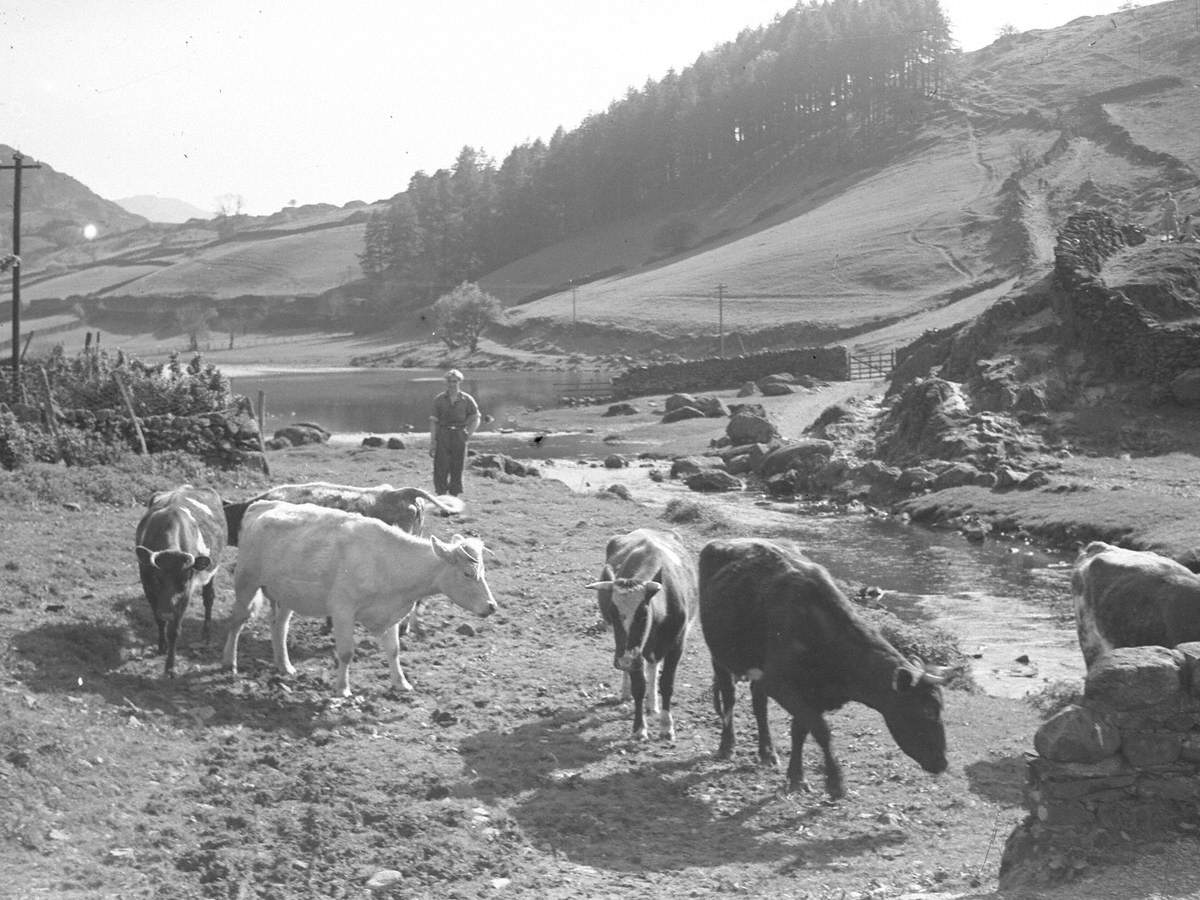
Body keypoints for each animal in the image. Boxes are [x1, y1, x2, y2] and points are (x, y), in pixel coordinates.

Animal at [136, 487, 229, 676]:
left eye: (184, 580)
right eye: (157, 578)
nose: (167, 612)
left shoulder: (186, 594)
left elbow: (174, 630)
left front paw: (170, 666)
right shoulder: (147, 586)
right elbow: (159, 620)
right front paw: (161, 646)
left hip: (212, 572)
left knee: (209, 599)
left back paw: (206, 634)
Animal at [222, 501, 496, 696]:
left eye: (483, 571)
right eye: (468, 573)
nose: (492, 606)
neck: (387, 561)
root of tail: (261, 506)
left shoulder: (390, 612)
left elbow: (394, 650)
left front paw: (401, 683)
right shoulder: (342, 610)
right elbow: (345, 652)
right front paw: (343, 689)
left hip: (287, 593)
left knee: (279, 626)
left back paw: (284, 665)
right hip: (246, 581)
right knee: (236, 621)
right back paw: (230, 663)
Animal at [585, 528, 700, 739]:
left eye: (643, 614)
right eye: (612, 613)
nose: (624, 661)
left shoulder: (677, 644)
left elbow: (667, 684)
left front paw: (666, 725)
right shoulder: (633, 652)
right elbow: (639, 686)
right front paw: (639, 727)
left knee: (653, 666)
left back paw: (652, 705)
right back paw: (627, 692)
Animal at [696, 540, 945, 801]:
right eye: (925, 711)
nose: (942, 763)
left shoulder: (809, 693)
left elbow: (800, 731)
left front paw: (796, 777)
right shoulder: (781, 684)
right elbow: (822, 730)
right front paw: (835, 782)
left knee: (758, 703)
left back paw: (767, 752)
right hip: (719, 655)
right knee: (729, 695)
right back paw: (727, 746)